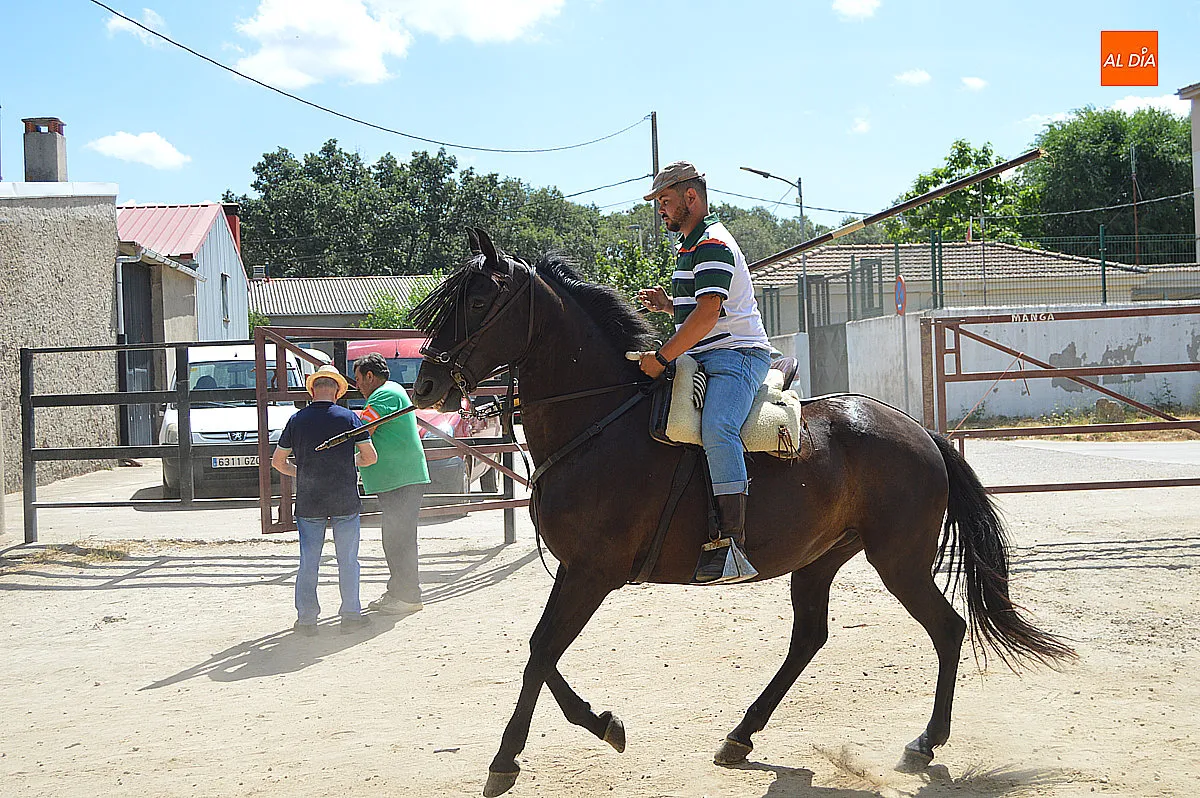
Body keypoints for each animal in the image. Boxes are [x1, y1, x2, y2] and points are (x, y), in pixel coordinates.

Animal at [409, 229, 1075, 797]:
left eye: (478, 301)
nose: (425, 385)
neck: (602, 419)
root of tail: (918, 431)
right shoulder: (579, 572)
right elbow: (541, 652)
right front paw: (599, 723)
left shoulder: (592, 573)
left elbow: (540, 651)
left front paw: (510, 759)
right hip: (821, 559)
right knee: (810, 638)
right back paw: (741, 735)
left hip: (900, 560)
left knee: (947, 629)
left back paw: (925, 742)